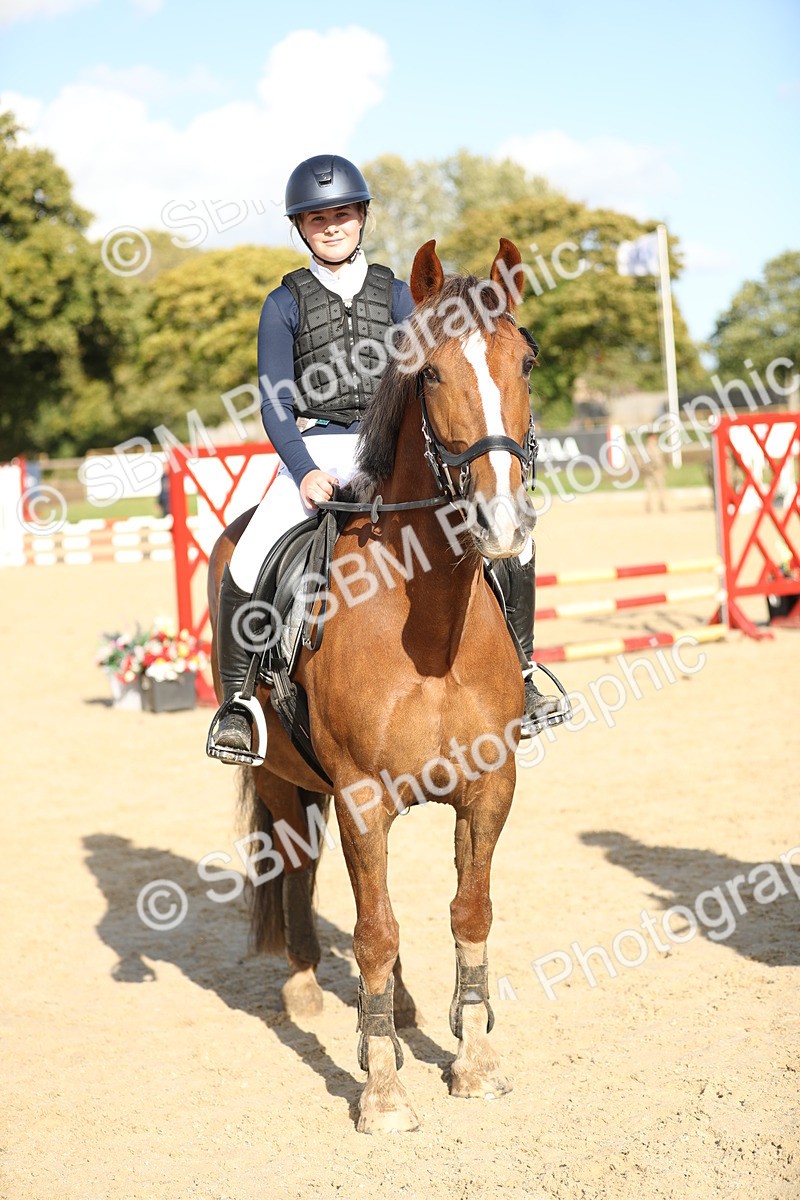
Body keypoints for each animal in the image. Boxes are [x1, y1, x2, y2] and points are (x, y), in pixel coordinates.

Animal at [207, 238, 538, 1133]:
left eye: (525, 361)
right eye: (430, 374)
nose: (503, 524)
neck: (429, 632)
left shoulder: (489, 786)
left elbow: (467, 912)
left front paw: (473, 1061)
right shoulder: (359, 796)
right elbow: (375, 934)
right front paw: (384, 1091)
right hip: (281, 778)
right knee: (300, 869)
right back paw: (304, 988)